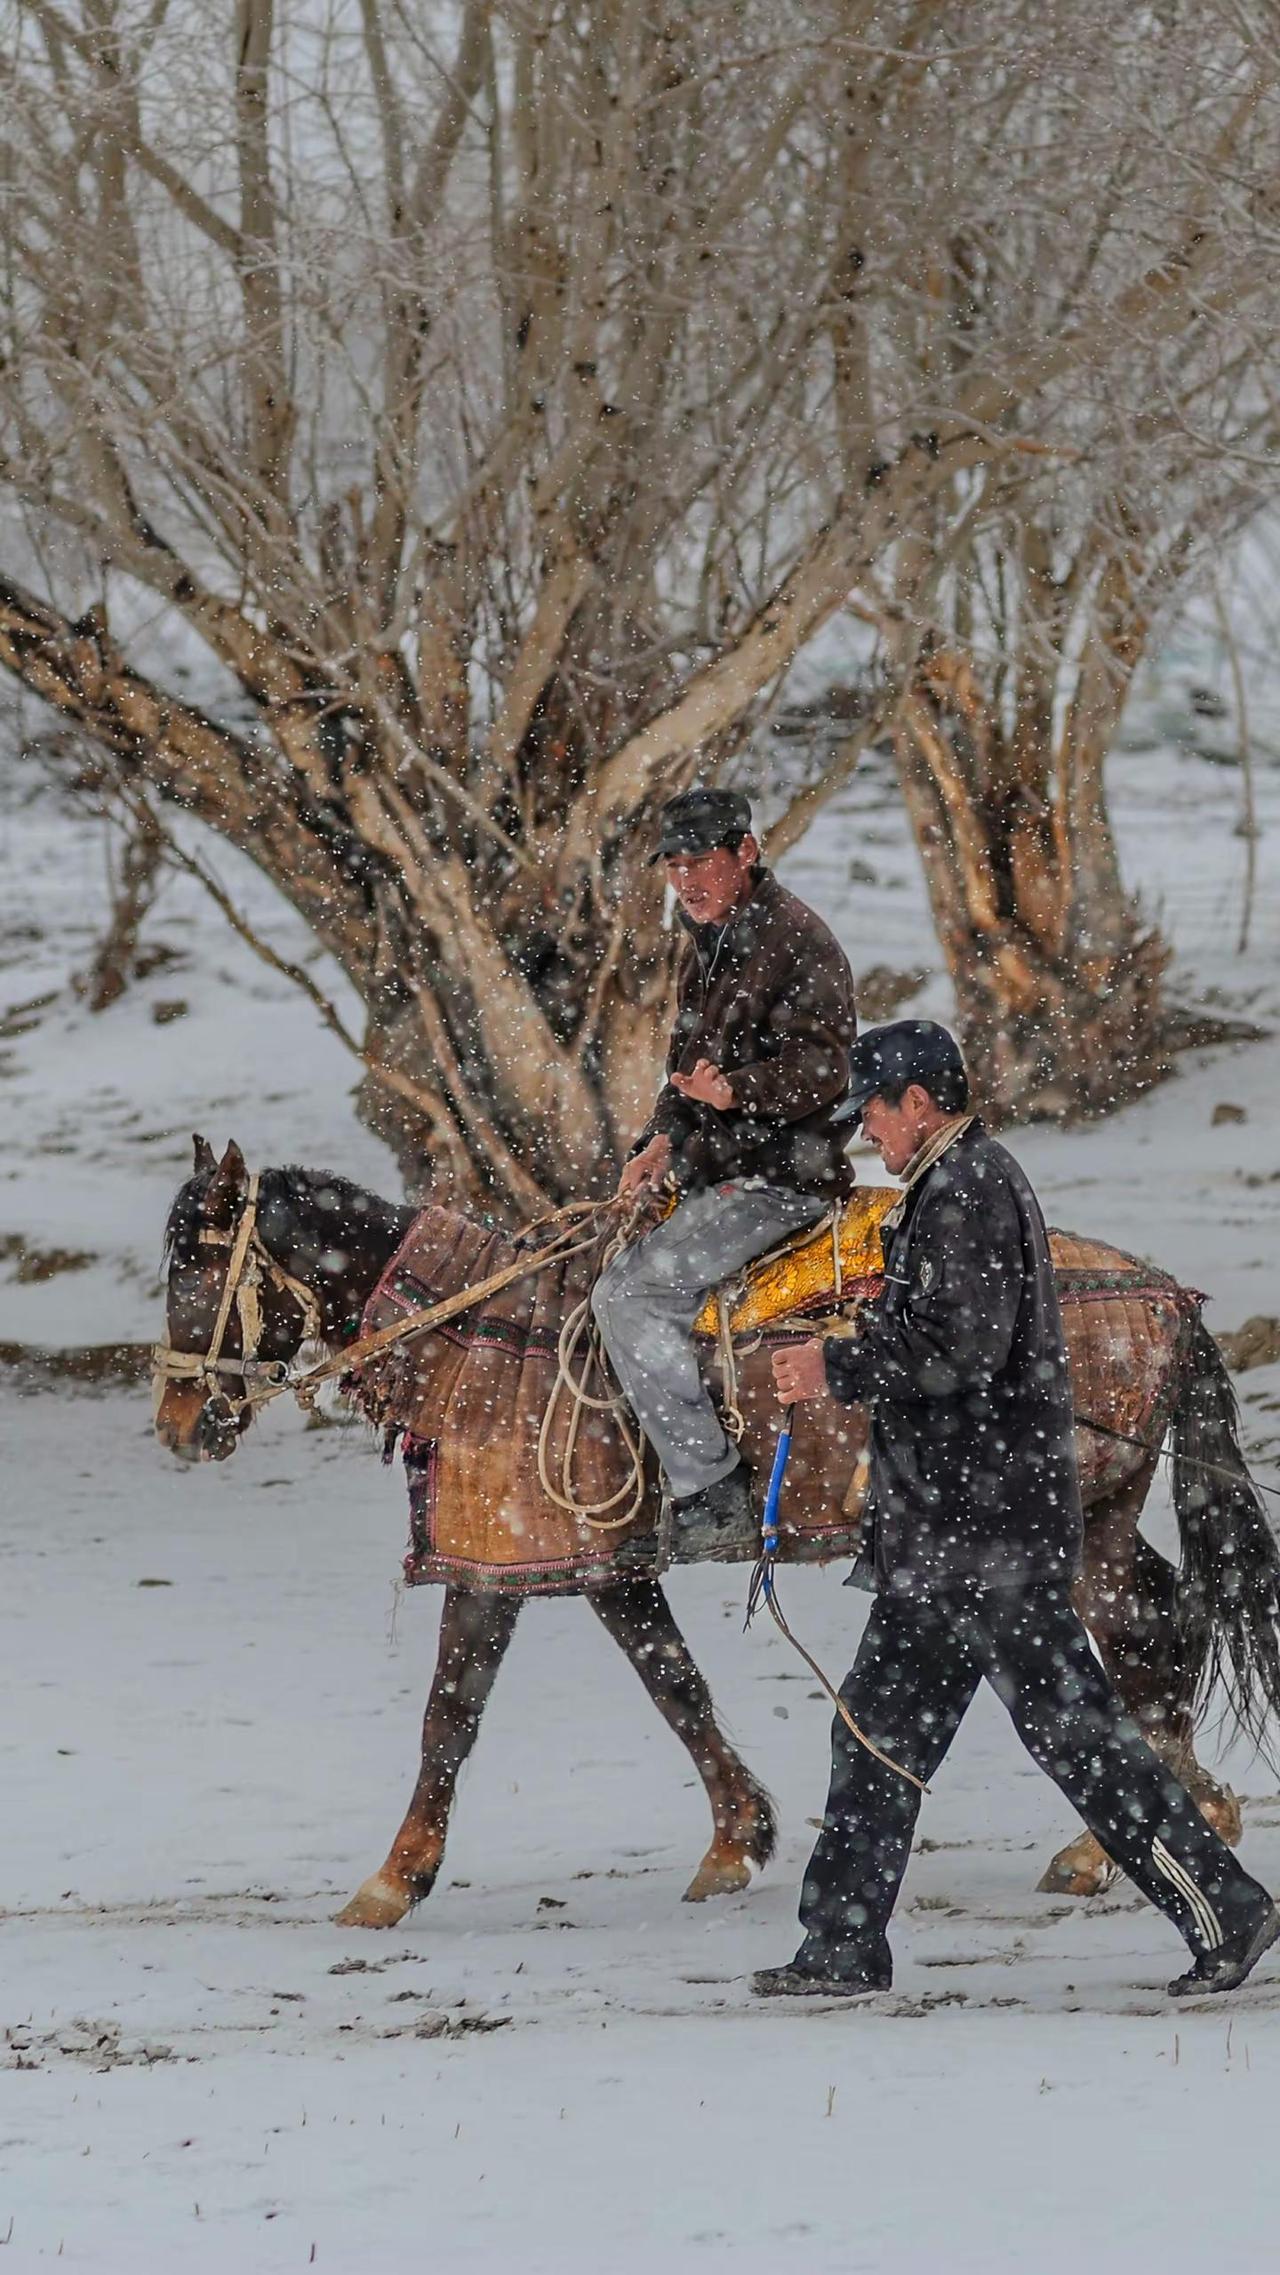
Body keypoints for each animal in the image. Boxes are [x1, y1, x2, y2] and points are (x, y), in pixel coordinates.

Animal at [154, 1136, 1280, 1927]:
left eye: (194, 1271)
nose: (178, 1423)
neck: (478, 1342)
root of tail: (1165, 1296)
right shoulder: (603, 1566)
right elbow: (674, 1684)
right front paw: (737, 1837)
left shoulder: (498, 1565)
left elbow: (450, 1716)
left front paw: (391, 1880)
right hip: (1098, 1518)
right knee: (1161, 1622)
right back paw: (1151, 1825)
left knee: (1143, 1633)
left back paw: (1130, 1834)